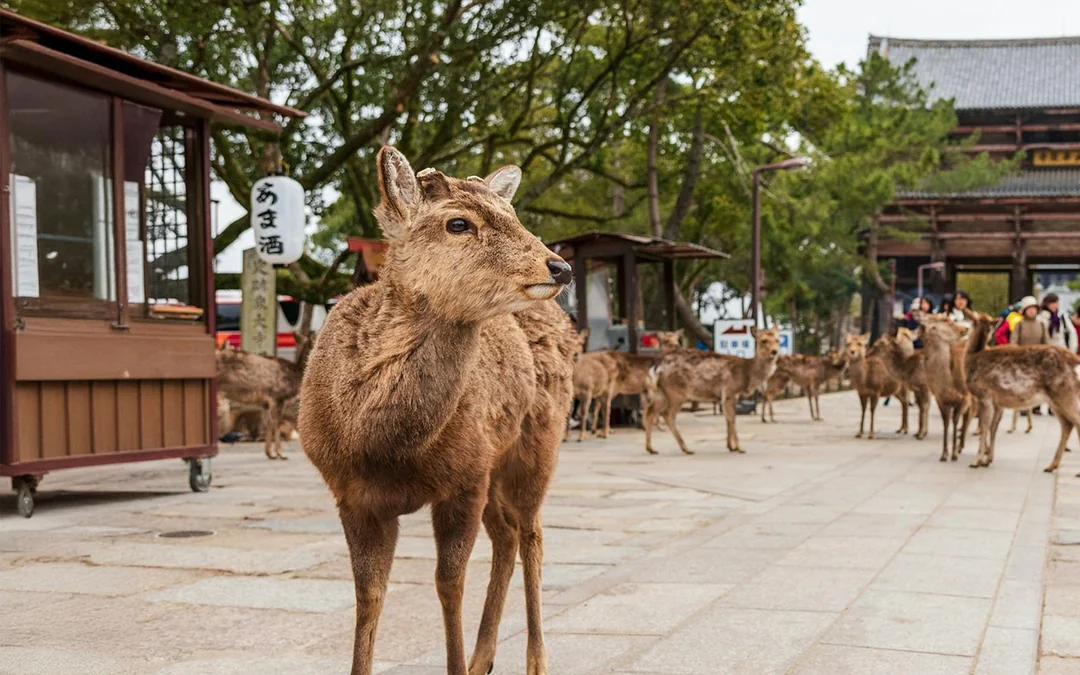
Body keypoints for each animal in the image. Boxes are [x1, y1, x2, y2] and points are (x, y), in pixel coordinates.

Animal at [297, 148, 577, 675]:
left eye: (513, 214)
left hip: (538, 446)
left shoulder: (464, 480)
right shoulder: (350, 495)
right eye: (458, 223)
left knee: (531, 533)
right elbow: (368, 596)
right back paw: (483, 658)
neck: (384, 447)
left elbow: (449, 585)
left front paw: (457, 660)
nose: (559, 267)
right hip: (495, 466)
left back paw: (535, 660)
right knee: (507, 534)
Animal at [644, 328, 781, 455]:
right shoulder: (730, 391)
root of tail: (657, 366)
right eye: (763, 340)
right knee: (667, 414)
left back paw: (651, 448)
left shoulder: (729, 396)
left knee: (650, 411)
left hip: (659, 392)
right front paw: (739, 448)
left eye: (777, 340)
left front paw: (730, 446)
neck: (746, 374)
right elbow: (732, 418)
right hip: (676, 391)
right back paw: (686, 449)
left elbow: (727, 418)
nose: (775, 351)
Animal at [964, 312, 1080, 472]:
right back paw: (1051, 466)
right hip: (1056, 400)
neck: (973, 358)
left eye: (971, 322)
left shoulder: (984, 395)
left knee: (1075, 423)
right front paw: (988, 459)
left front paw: (977, 461)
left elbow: (985, 427)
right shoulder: (998, 403)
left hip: (1065, 393)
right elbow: (993, 428)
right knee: (1068, 425)